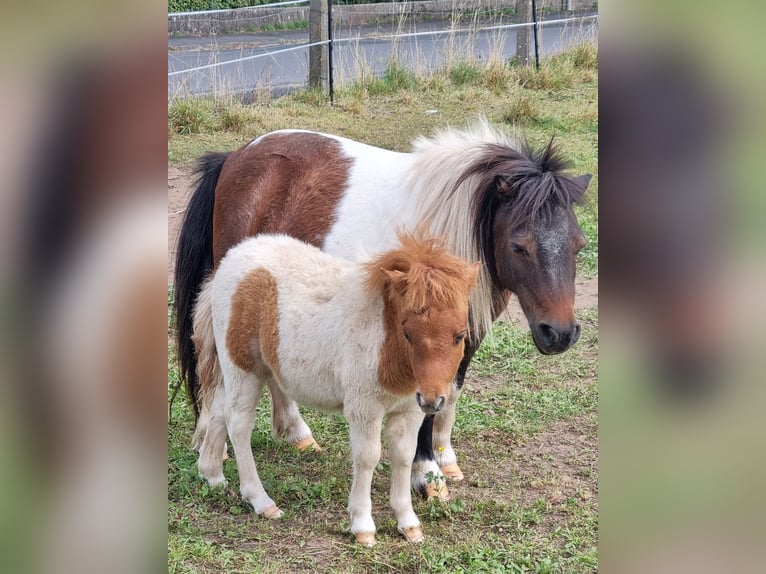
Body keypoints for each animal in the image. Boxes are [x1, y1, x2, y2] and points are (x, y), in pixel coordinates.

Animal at [176, 121, 592, 500]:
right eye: (520, 246)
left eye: (579, 243)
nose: (560, 333)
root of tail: (235, 157)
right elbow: (426, 406)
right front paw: (426, 474)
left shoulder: (463, 334)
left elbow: (449, 394)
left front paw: (445, 459)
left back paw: (296, 433)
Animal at [194, 232, 480, 548]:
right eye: (407, 332)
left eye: (459, 335)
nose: (432, 400)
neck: (384, 339)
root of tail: (229, 261)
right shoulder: (364, 408)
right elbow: (367, 458)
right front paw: (363, 526)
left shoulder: (409, 409)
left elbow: (404, 456)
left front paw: (408, 523)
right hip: (244, 369)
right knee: (239, 423)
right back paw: (260, 500)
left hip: (234, 370)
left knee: (219, 410)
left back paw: (212, 475)